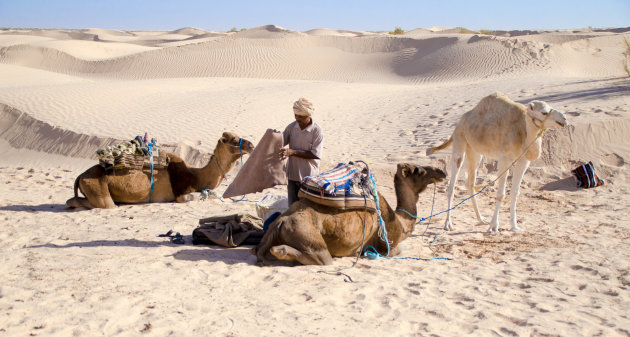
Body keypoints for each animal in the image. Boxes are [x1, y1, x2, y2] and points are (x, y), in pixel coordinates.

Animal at [68, 131, 256, 207]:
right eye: (234, 140)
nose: (251, 145)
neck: (195, 175)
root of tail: (80, 176)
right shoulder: (180, 194)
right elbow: (199, 197)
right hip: (98, 189)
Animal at [252, 163, 450, 266]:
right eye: (419, 170)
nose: (442, 172)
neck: (401, 222)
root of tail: (282, 221)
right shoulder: (385, 246)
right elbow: (398, 250)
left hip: (272, 231)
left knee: (257, 249)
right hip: (307, 235)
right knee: (324, 259)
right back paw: (281, 251)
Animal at [428, 93, 572, 232]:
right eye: (544, 112)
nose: (564, 119)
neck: (522, 130)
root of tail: (460, 122)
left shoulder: (523, 161)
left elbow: (515, 193)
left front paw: (514, 226)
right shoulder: (504, 160)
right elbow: (501, 194)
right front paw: (493, 226)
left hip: (475, 151)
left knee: (470, 183)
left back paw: (481, 219)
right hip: (460, 141)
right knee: (452, 184)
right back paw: (448, 224)